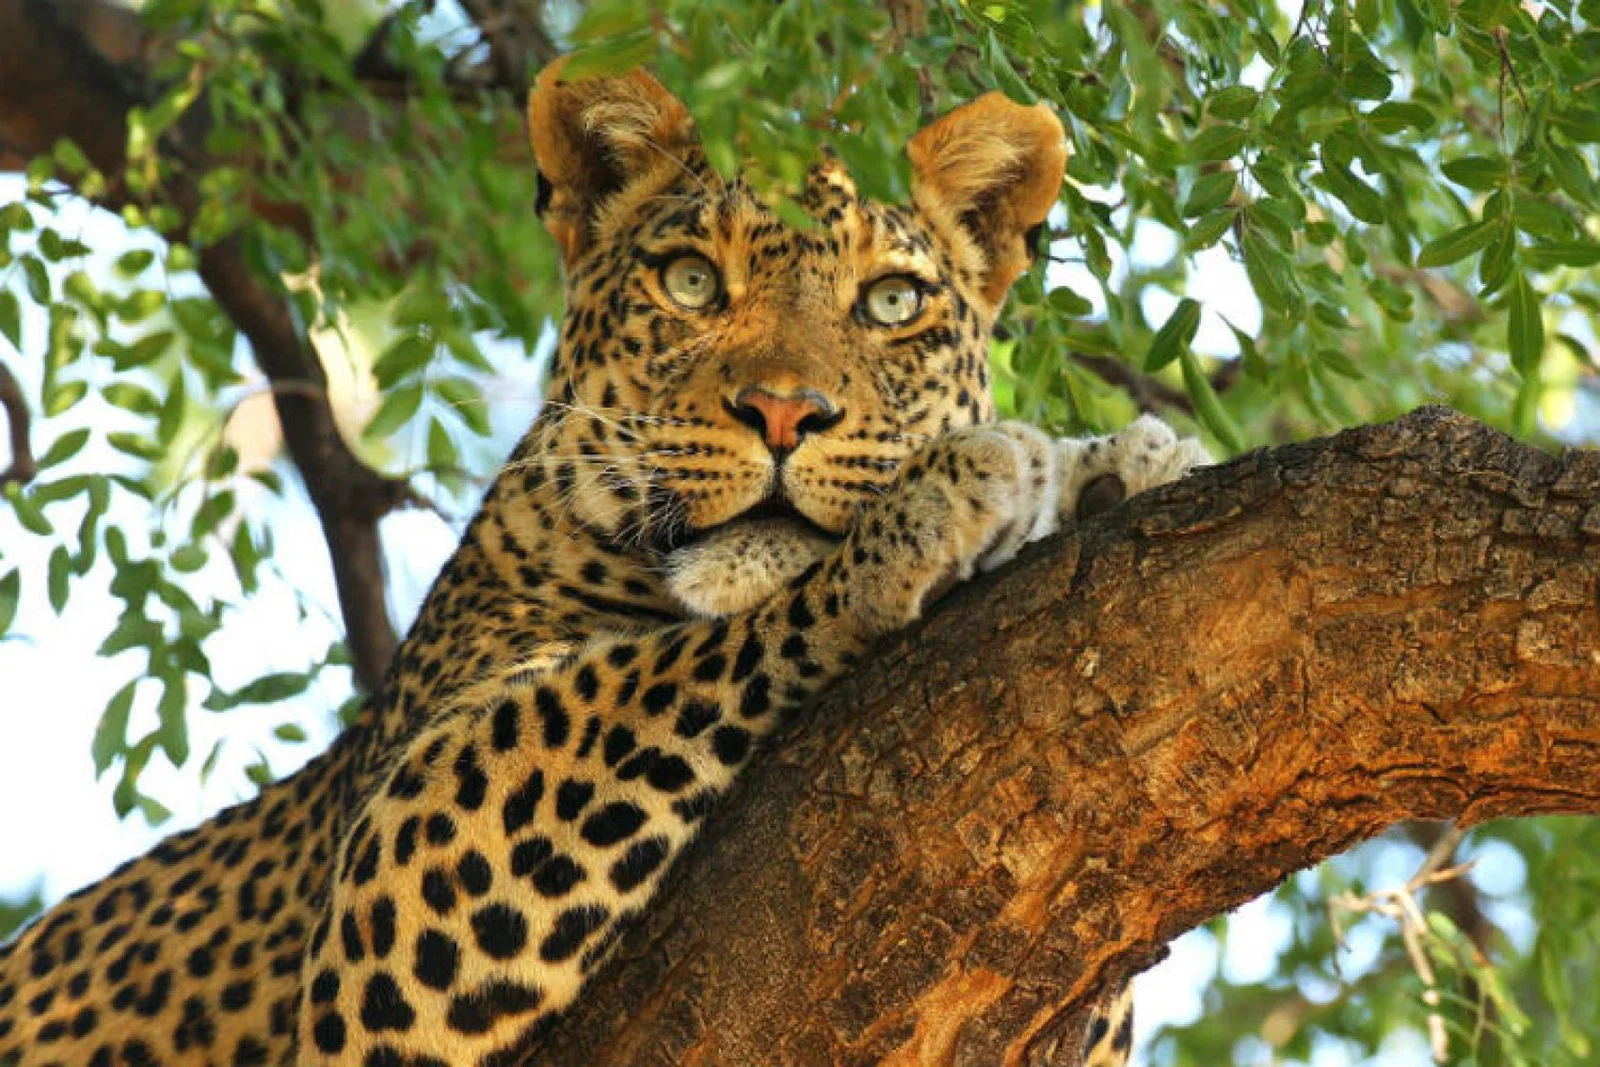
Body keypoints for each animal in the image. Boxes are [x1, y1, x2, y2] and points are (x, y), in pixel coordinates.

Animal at [0, 59, 1209, 1067]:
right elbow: (642, 669)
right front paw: (950, 499)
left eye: (893, 302)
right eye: (691, 282)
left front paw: (1114, 469)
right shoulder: (396, 864)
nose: (784, 412)